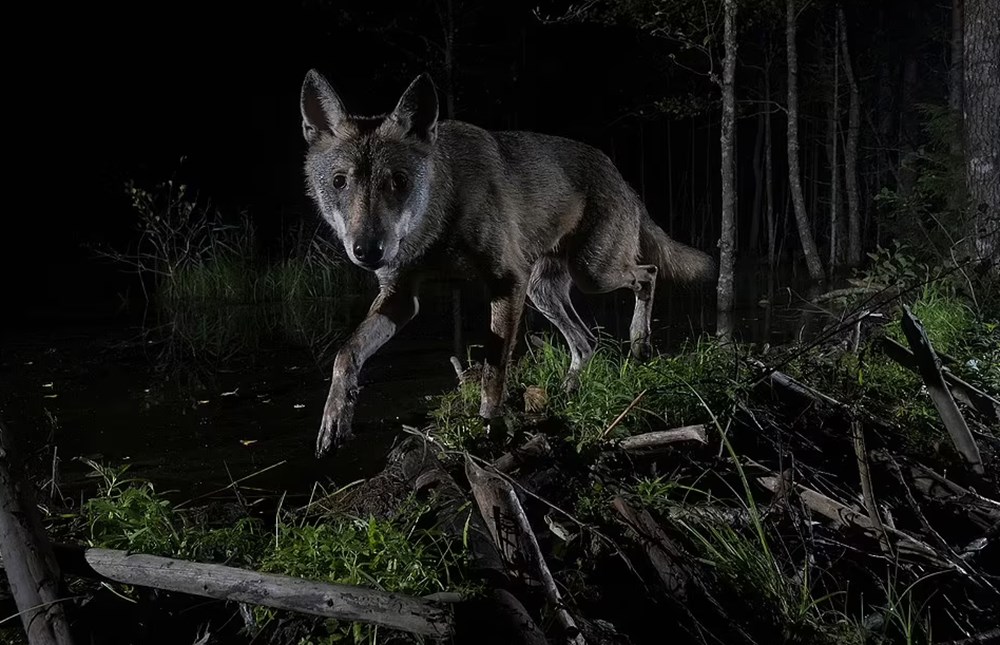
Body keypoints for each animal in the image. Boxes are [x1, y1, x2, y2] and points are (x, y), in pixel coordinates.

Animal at [300, 69, 716, 458]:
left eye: (398, 181)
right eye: (339, 182)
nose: (367, 251)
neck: (438, 223)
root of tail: (622, 178)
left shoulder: (507, 281)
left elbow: (493, 368)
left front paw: (489, 428)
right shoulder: (401, 297)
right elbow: (346, 354)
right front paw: (334, 421)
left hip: (592, 273)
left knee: (648, 274)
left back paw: (639, 343)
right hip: (543, 290)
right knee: (587, 341)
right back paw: (568, 392)